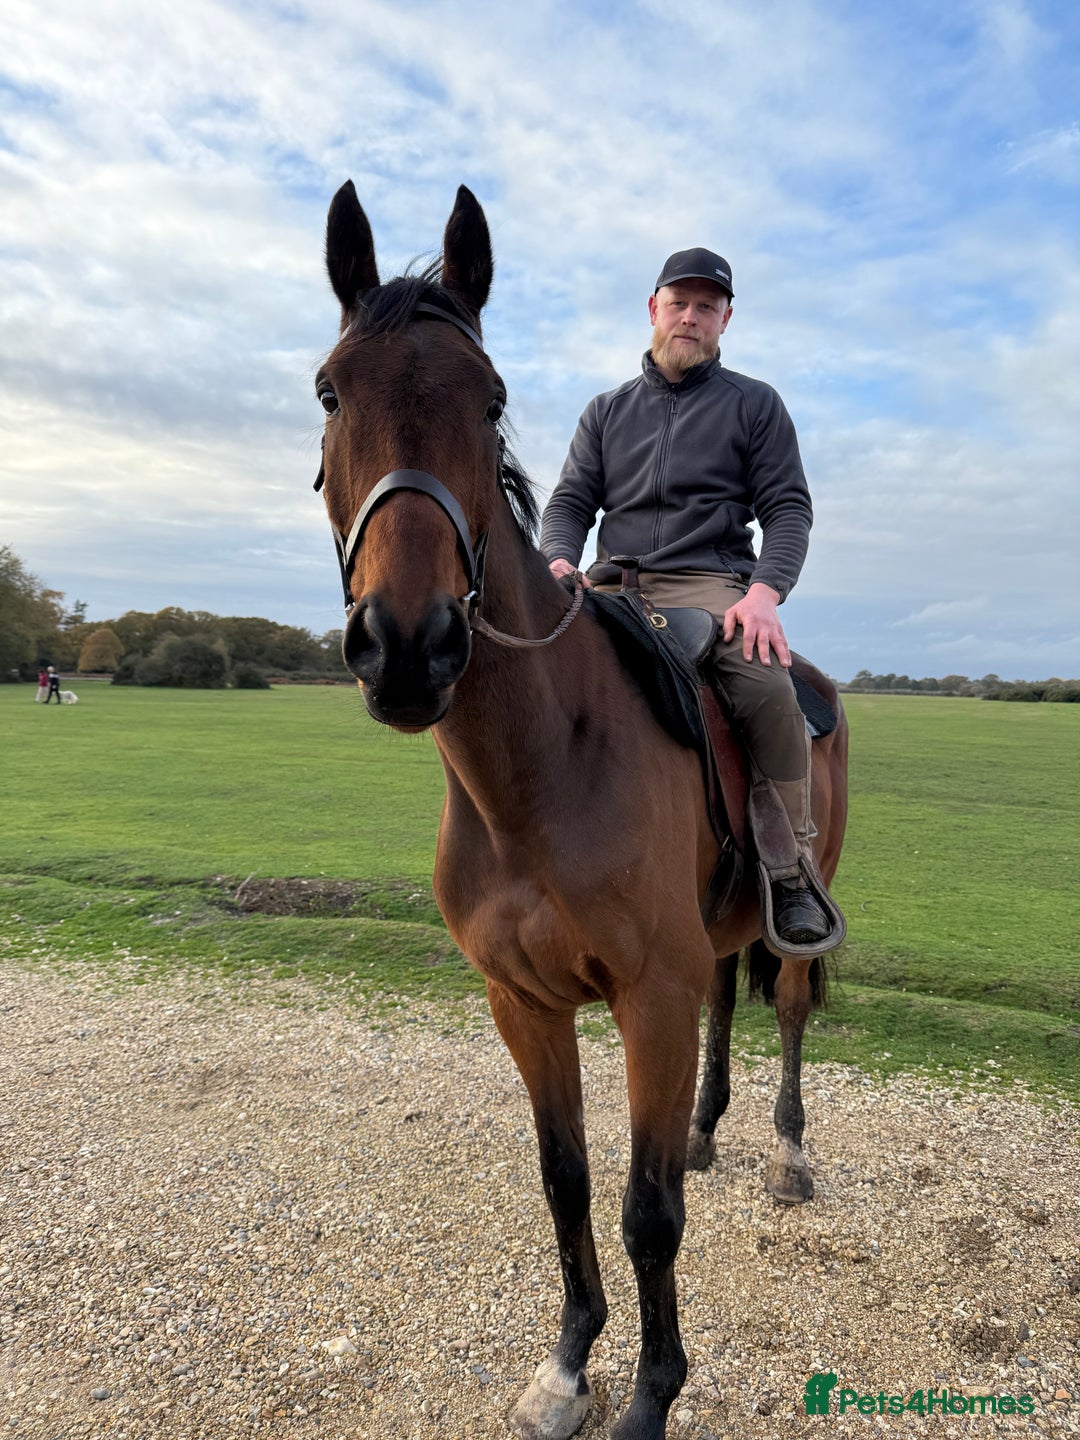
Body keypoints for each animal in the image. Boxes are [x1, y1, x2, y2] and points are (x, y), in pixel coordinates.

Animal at [313, 180, 848, 1440]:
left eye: (492, 396)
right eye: (330, 392)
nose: (406, 646)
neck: (538, 775)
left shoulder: (644, 1000)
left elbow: (646, 1214)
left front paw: (651, 1396)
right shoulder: (524, 1002)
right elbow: (565, 1183)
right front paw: (568, 1363)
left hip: (789, 914)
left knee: (786, 1003)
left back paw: (784, 1153)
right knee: (729, 1002)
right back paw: (706, 1133)